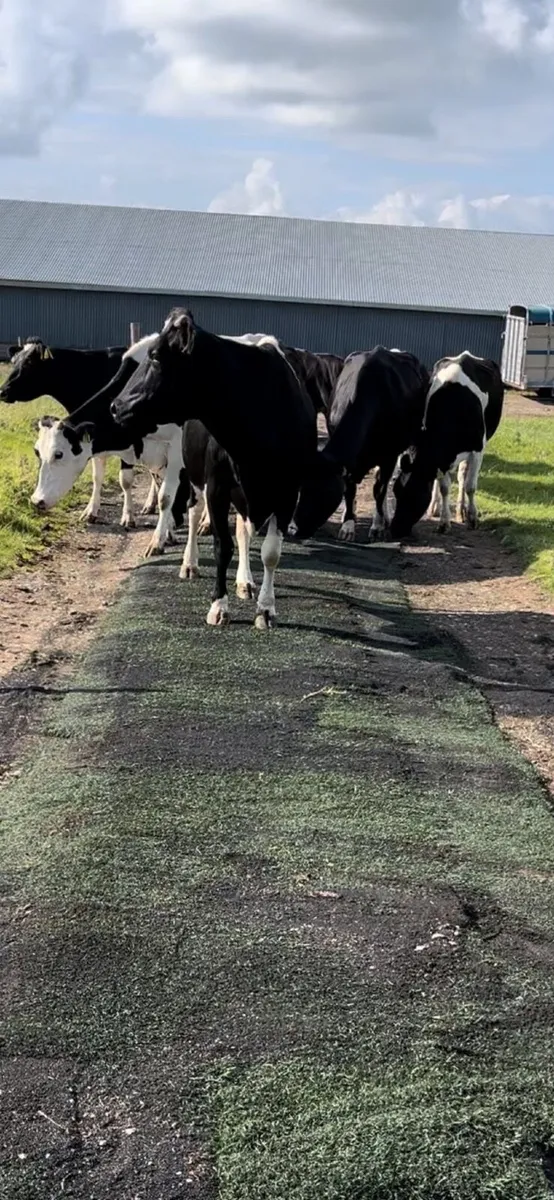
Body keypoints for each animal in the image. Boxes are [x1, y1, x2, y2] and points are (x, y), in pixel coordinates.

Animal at [0, 337, 160, 525]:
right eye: (14, 362)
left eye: (28, 364)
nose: (2, 391)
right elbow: (97, 476)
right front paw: (91, 511)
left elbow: (126, 480)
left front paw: (128, 516)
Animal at [30, 334, 189, 557]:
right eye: (37, 452)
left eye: (59, 454)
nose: (37, 501)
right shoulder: (155, 457)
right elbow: (159, 490)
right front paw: (169, 533)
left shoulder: (174, 450)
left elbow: (165, 496)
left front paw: (157, 541)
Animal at [110, 308, 317, 630]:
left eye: (155, 356)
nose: (116, 405)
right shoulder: (217, 487)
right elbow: (223, 547)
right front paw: (218, 606)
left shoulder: (287, 493)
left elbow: (270, 553)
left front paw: (265, 609)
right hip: (196, 477)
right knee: (195, 513)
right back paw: (190, 564)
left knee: (244, 532)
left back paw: (245, 582)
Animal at [292, 347, 430, 542]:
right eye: (302, 488)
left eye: (317, 491)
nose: (292, 529)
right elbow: (349, 490)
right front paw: (348, 525)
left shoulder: (389, 454)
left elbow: (380, 489)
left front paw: (377, 527)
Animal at [390, 352, 504, 539]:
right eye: (396, 491)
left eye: (413, 496)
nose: (395, 530)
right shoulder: (440, 458)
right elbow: (444, 487)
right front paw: (444, 522)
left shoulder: (477, 450)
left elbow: (470, 486)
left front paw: (472, 518)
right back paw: (435, 508)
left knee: (463, 476)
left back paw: (461, 511)